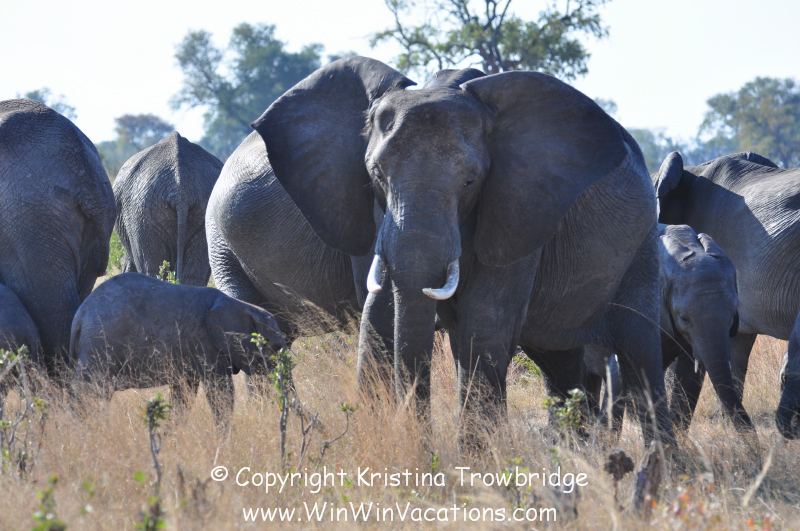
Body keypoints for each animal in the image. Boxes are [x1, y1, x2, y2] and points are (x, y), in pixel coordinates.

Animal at [70, 273, 286, 423]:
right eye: (276, 348)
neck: (241, 305)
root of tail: (80, 315)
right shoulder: (206, 344)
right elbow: (220, 393)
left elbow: (184, 395)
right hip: (99, 345)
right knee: (86, 393)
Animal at [249, 57, 674, 446]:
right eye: (377, 176)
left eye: (470, 180)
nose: (418, 438)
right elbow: (380, 317)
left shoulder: (519, 206)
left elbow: (485, 323)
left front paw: (475, 463)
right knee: (559, 363)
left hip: (641, 243)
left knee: (640, 357)